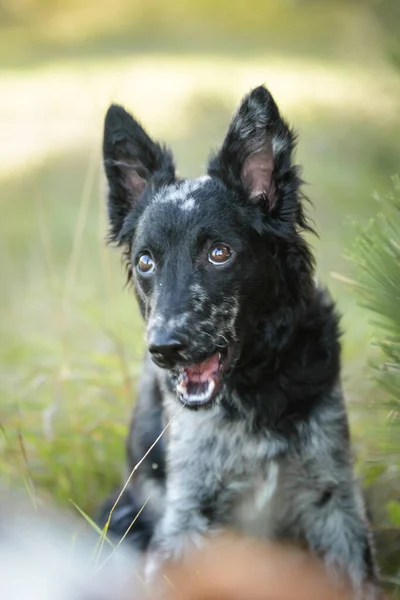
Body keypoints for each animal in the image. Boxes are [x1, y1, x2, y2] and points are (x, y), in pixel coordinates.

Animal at [99, 86, 382, 596]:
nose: (164, 349)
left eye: (219, 253)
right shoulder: (186, 514)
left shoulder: (335, 501)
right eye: (146, 261)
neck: (253, 391)